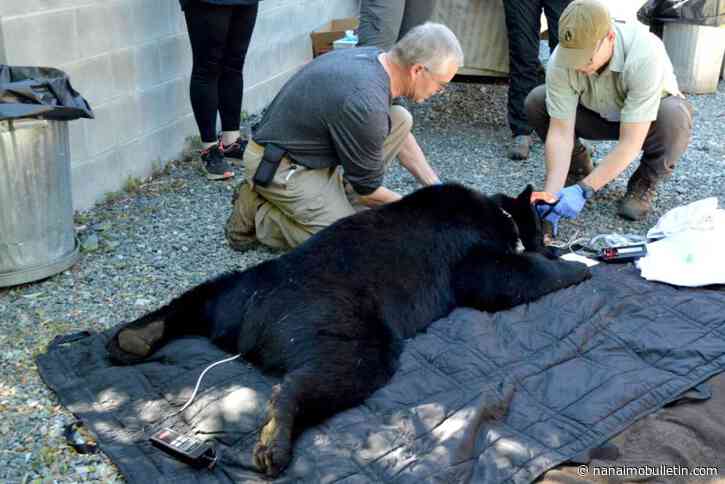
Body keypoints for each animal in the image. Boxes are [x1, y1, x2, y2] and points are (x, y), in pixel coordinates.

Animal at [106, 183, 590, 477]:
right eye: (542, 229)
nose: (551, 241)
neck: (498, 212)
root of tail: (249, 324)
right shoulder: (467, 251)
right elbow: (502, 278)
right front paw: (574, 266)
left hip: (236, 288)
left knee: (195, 299)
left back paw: (134, 338)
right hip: (341, 321)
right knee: (331, 372)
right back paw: (274, 441)